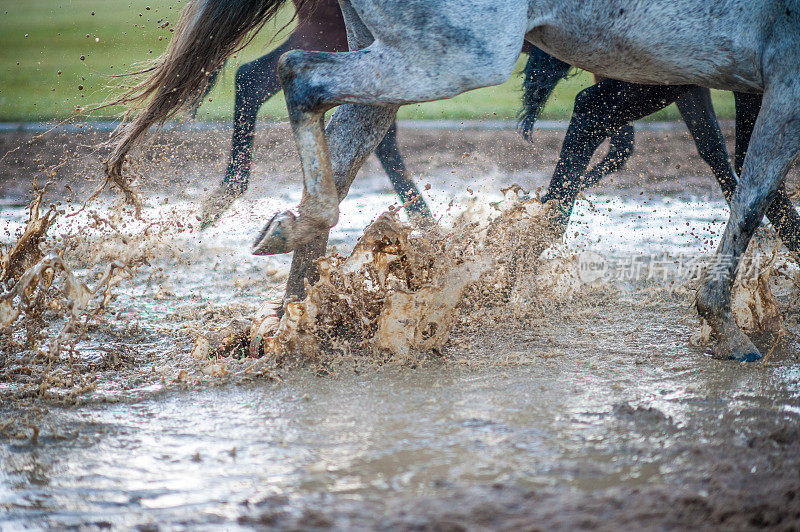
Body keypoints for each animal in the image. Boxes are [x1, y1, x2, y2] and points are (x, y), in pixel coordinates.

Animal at [103, 0, 800, 362]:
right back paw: (311, 229)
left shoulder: (714, 78)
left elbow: (738, 173)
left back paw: (296, 315)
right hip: (455, 52)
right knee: (300, 78)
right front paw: (726, 324)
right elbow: (748, 188)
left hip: (396, 46)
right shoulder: (772, 81)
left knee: (334, 119)